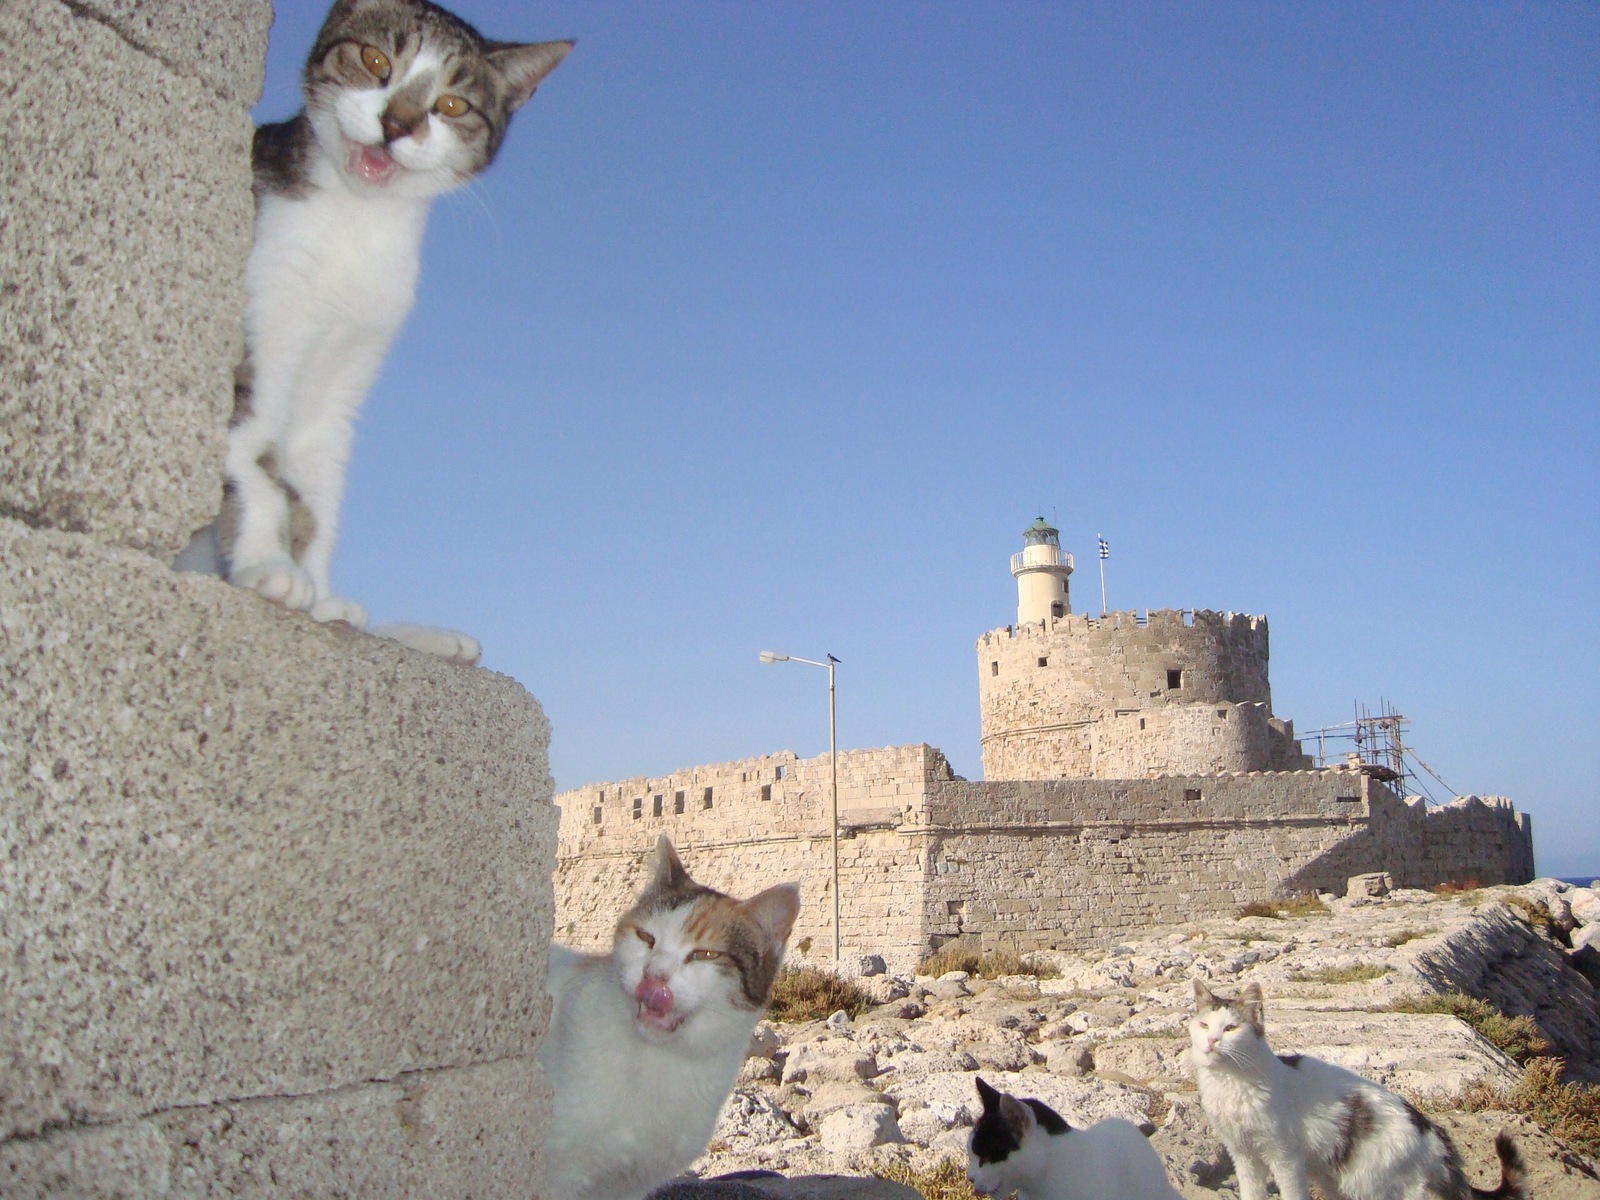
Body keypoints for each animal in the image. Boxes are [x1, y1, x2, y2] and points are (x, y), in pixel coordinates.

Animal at [175, 0, 569, 668]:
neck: (356, 218)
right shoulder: (257, 324)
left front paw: (322, 597)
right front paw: (266, 564)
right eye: (375, 60)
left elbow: (317, 490)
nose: (397, 123)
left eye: (452, 105)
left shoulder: (343, 378)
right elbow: (252, 456)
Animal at [1190, 979, 1523, 1196]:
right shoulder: (1244, 1156)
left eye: (1231, 1028)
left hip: (1374, 1186)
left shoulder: (1285, 1157)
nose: (1212, 1041)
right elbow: (1252, 1193)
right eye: (1204, 1026)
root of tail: (1431, 1131)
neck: (1231, 1083)